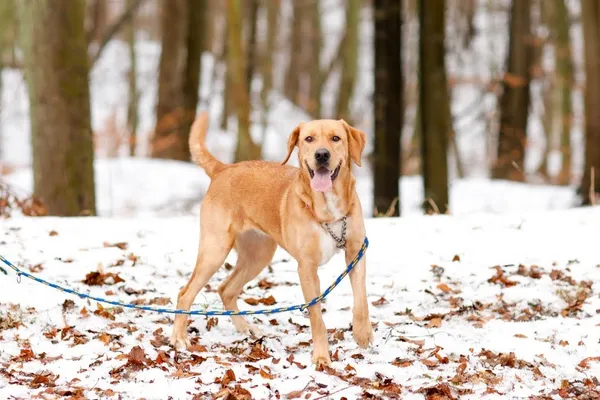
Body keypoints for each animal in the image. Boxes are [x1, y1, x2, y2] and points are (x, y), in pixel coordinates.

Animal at [171, 111, 372, 366]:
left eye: (336, 138)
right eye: (308, 139)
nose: (322, 154)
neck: (328, 208)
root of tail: (224, 169)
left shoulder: (356, 252)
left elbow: (361, 300)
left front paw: (362, 333)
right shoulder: (307, 267)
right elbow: (316, 316)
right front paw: (321, 356)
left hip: (258, 256)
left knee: (226, 289)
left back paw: (246, 328)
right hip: (215, 250)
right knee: (185, 293)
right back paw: (179, 338)